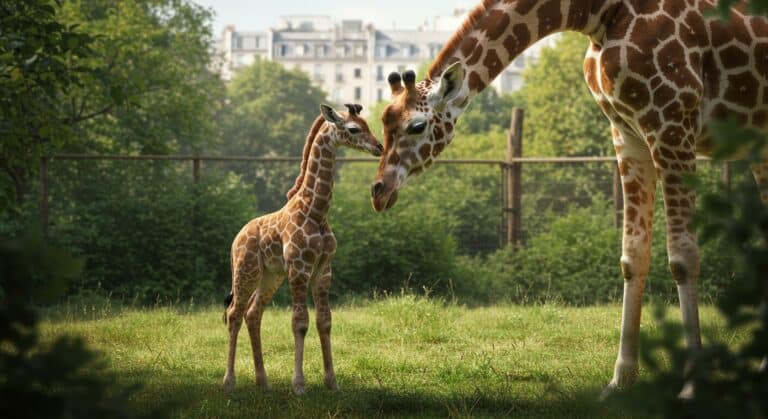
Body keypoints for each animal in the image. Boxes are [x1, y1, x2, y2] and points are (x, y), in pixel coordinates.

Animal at [222, 103, 382, 395]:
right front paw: (298, 385)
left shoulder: (323, 270)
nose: (379, 146)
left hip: (271, 276)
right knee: (234, 314)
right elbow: (300, 322)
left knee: (253, 314)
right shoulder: (299, 269)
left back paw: (263, 381)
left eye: (367, 123)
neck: (316, 211)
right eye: (354, 128)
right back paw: (229, 382)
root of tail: (236, 239)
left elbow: (324, 321)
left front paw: (332, 382)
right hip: (246, 271)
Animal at [369, 0, 768, 397]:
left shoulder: (672, 125)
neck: (601, 15)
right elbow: (632, 256)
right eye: (384, 121)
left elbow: (683, 258)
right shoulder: (628, 132)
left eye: (416, 126)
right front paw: (620, 380)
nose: (379, 191)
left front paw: (692, 387)